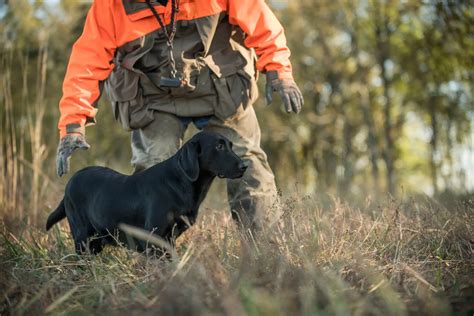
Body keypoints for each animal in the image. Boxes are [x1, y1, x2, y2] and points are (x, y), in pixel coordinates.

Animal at [46, 131, 248, 254]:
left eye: (230, 145)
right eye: (219, 147)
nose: (244, 166)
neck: (181, 182)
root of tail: (72, 180)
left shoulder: (170, 239)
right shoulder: (154, 239)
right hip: (83, 238)